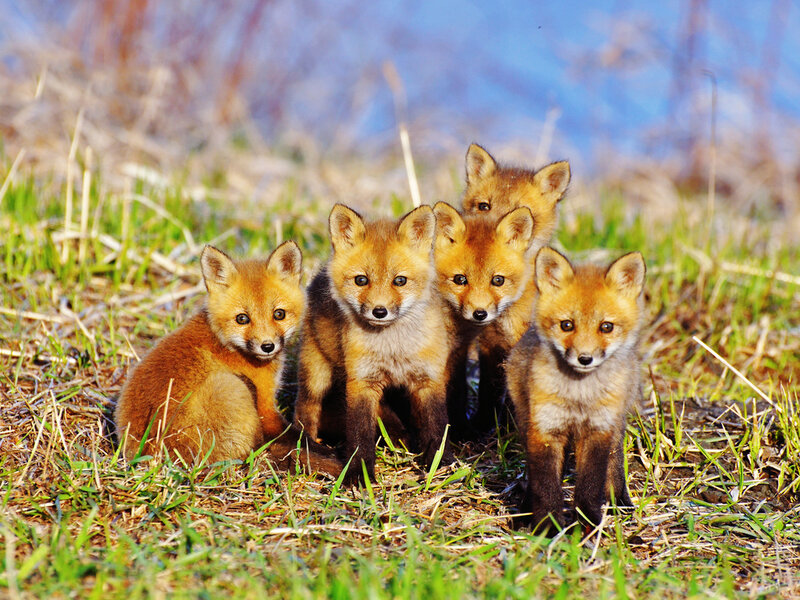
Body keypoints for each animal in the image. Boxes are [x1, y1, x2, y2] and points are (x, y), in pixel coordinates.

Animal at [114, 243, 341, 475]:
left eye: (279, 314)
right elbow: (299, 437)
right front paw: (335, 454)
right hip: (231, 386)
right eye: (242, 319)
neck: (227, 343)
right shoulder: (266, 408)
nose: (267, 346)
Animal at [293, 204, 452, 484]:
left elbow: (436, 424)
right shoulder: (361, 382)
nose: (379, 311)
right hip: (316, 374)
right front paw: (360, 473)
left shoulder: (429, 378)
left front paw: (438, 463)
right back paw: (309, 447)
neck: (393, 349)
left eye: (400, 281)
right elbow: (360, 434)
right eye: (361, 280)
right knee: (304, 409)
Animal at [505, 247, 646, 533]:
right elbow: (546, 485)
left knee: (615, 461)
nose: (584, 358)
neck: (579, 397)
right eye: (567, 325)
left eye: (606, 327)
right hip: (525, 418)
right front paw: (548, 526)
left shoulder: (598, 431)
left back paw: (619, 499)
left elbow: (590, 485)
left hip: (616, 423)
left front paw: (588, 522)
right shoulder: (544, 429)